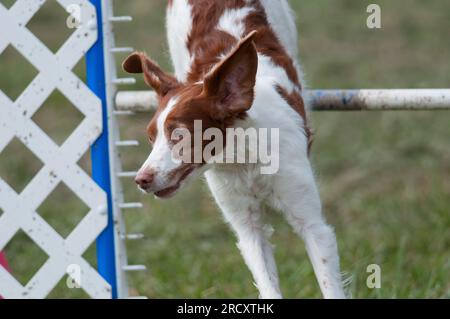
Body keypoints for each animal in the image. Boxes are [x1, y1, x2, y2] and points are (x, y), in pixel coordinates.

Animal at [122, 0, 344, 300]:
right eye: (150, 137)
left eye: (179, 134)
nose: (141, 180)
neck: (244, 158)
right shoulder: (248, 228)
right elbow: (268, 284)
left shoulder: (311, 223)